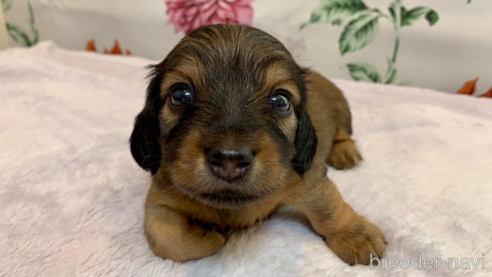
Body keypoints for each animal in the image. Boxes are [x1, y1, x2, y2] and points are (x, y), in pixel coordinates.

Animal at [131, 23, 388, 264]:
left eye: (280, 100)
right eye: (180, 95)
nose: (229, 160)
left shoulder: (306, 180)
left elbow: (327, 210)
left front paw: (356, 236)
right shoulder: (161, 196)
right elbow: (163, 237)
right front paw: (209, 236)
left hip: (342, 111)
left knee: (344, 134)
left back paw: (345, 152)